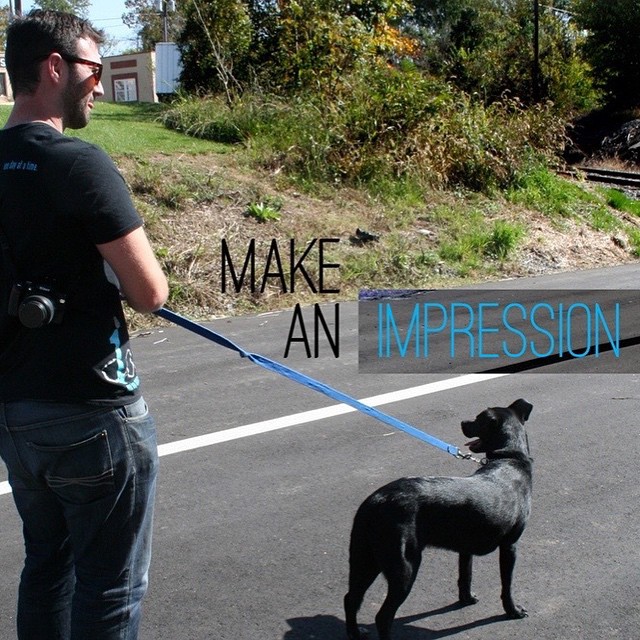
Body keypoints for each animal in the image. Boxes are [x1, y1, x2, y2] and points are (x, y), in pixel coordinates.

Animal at [342, 398, 532, 636]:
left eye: (477, 419)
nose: (463, 422)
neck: (509, 458)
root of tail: (375, 501)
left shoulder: (465, 548)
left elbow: (465, 575)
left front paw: (466, 599)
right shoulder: (510, 546)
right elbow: (507, 585)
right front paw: (513, 611)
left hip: (364, 558)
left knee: (351, 599)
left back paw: (355, 633)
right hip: (404, 566)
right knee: (382, 616)